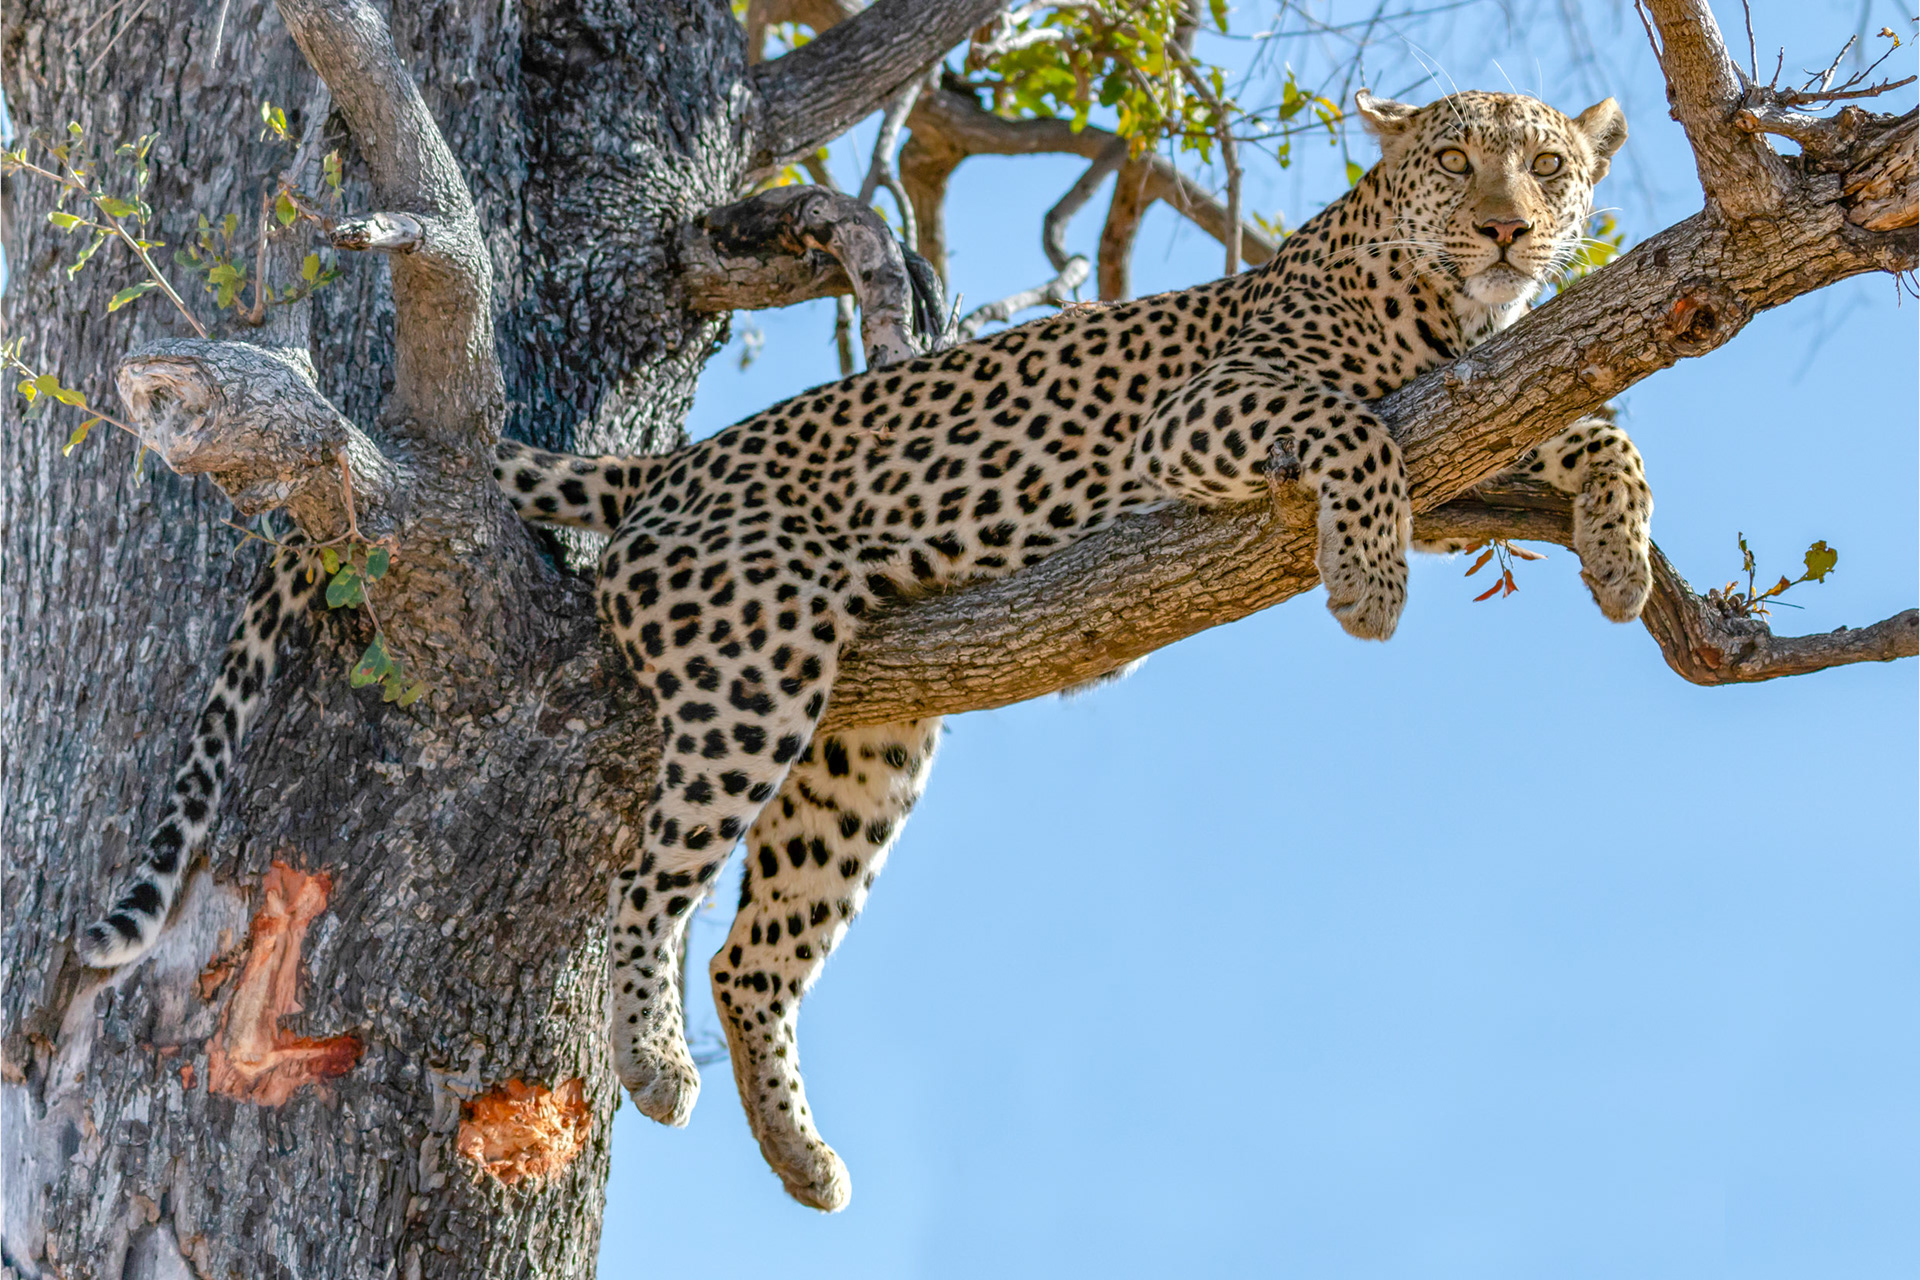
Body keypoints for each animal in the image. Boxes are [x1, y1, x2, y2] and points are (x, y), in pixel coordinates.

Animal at [78, 89, 1651, 1212]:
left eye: (1549, 169)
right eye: (1458, 163)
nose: (1509, 230)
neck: (1443, 306)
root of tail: (677, 464)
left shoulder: (1491, 416)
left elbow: (1595, 425)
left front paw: (1624, 559)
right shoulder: (1204, 416)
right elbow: (1356, 425)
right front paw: (1372, 583)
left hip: (865, 743)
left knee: (753, 955)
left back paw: (801, 1160)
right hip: (753, 662)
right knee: (654, 892)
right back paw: (654, 1063)